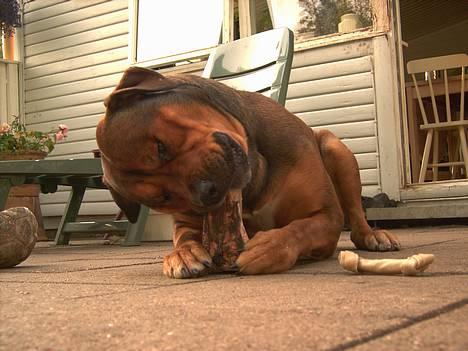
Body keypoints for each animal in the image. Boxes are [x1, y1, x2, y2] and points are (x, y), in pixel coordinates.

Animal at [97, 67, 400, 280]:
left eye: (161, 147)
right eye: (164, 197)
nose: (207, 192)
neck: (255, 181)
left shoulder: (327, 214)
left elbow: (301, 228)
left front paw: (268, 247)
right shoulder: (187, 221)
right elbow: (184, 237)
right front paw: (182, 254)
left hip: (335, 148)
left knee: (356, 212)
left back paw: (374, 236)